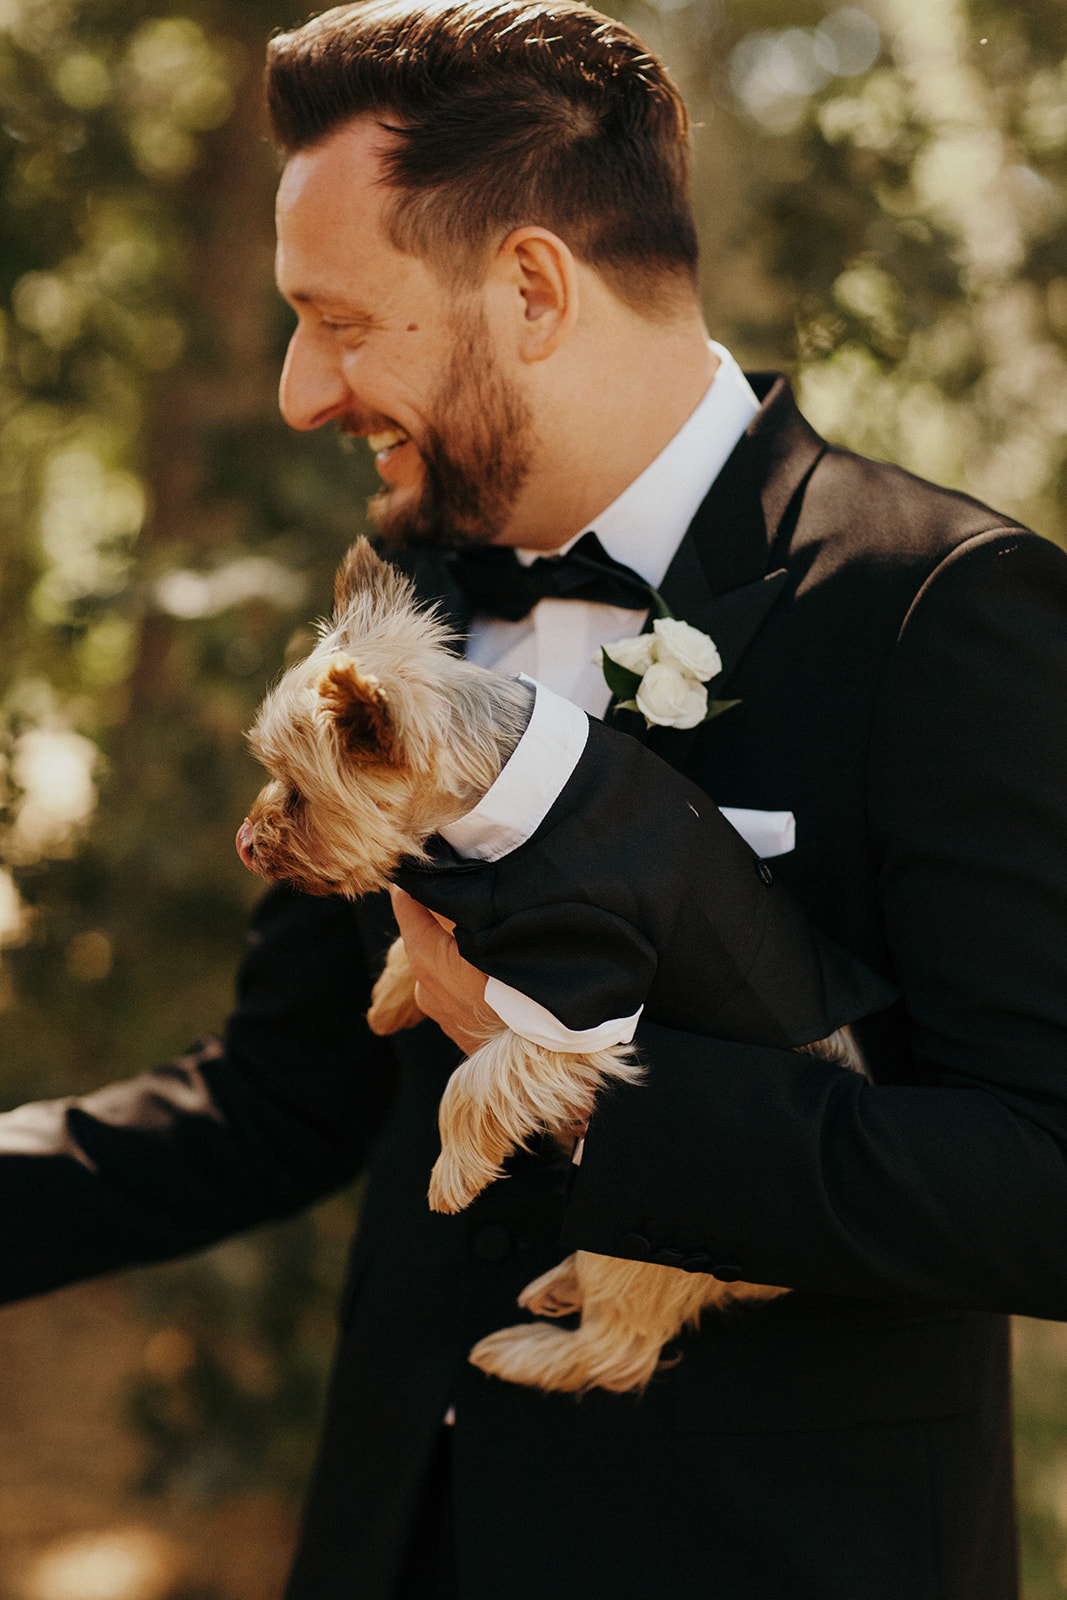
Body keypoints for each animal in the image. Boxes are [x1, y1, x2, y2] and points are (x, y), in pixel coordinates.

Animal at [238, 537, 870, 1388]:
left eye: (301, 797)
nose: (245, 842)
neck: (503, 787)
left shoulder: (585, 992)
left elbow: (479, 1079)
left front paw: (453, 1173)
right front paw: (392, 995)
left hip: (655, 1237)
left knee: (621, 1344)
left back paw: (526, 1351)